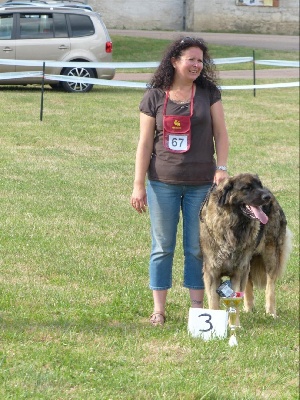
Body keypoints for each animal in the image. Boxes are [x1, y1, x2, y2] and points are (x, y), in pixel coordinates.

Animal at [200, 173, 292, 318]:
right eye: (247, 188)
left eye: (259, 185)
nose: (267, 197)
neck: (233, 226)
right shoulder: (212, 271)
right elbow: (214, 302)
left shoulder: (238, 270)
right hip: (247, 262)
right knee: (248, 284)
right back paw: (249, 308)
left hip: (270, 254)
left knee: (270, 285)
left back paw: (271, 312)